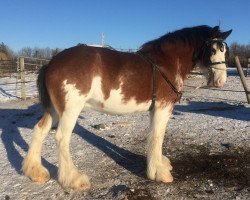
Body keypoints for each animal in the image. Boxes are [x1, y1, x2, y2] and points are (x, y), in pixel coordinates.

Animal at [22, 25, 232, 191]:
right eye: (213, 49)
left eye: (224, 51)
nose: (221, 81)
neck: (166, 62)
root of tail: (52, 62)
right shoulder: (163, 107)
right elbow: (157, 137)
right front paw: (158, 173)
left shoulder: (156, 109)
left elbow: (154, 136)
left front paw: (160, 164)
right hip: (70, 110)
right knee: (61, 138)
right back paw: (73, 179)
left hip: (54, 110)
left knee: (40, 130)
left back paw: (35, 172)